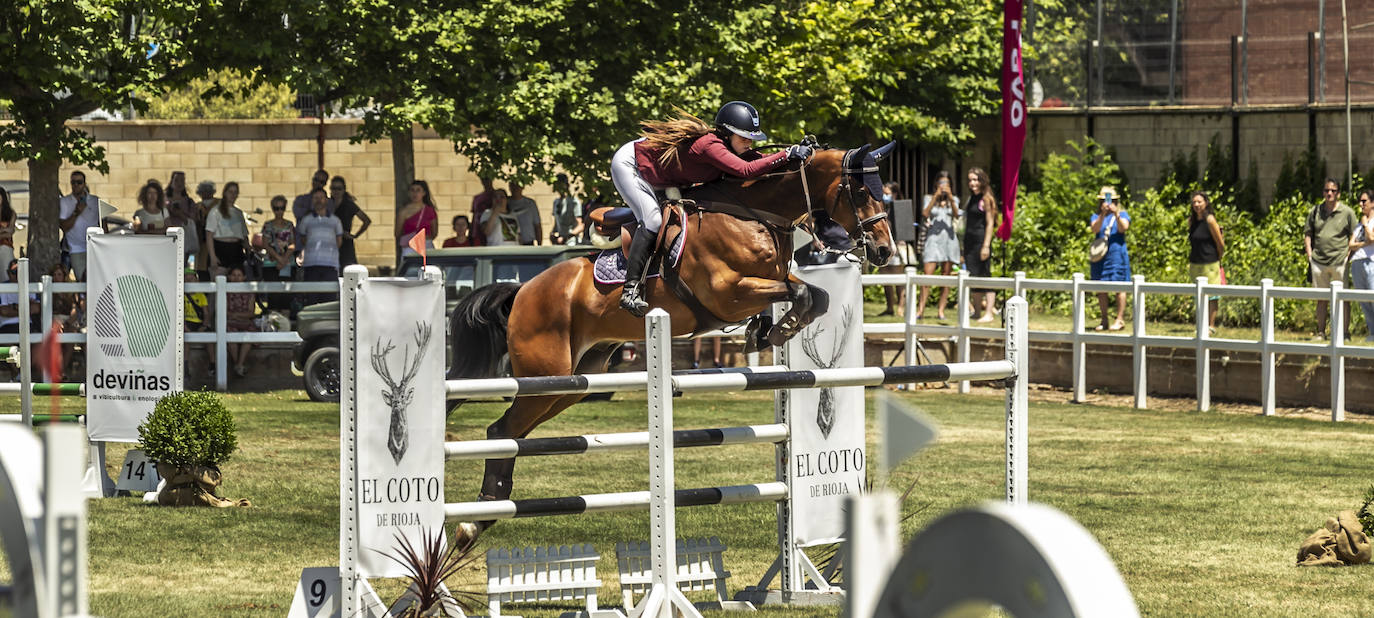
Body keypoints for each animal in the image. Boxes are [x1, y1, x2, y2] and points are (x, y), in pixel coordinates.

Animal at [450, 142, 901, 543]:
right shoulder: (728, 293)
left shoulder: (768, 281)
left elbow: (815, 295)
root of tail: (521, 290)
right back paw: (476, 518)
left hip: (573, 382)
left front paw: (770, 329)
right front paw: (778, 329)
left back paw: (483, 517)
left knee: (514, 433)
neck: (752, 215)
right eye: (861, 192)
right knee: (501, 429)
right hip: (546, 377)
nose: (884, 251)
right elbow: (804, 292)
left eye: (882, 191)